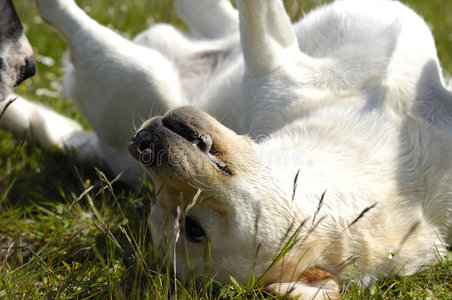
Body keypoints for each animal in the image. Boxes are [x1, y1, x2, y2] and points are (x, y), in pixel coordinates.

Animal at [0, 0, 452, 298]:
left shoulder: (274, 65)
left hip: (138, 75)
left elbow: (257, 23)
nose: (141, 146)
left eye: (191, 228)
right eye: (156, 200)